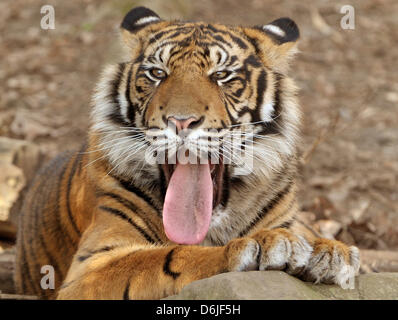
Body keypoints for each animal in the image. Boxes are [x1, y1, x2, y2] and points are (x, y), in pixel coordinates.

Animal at [14, 5, 360, 300]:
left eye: (221, 76)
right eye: (157, 74)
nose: (181, 121)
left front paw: (329, 252)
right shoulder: (89, 269)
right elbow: (173, 256)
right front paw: (261, 246)